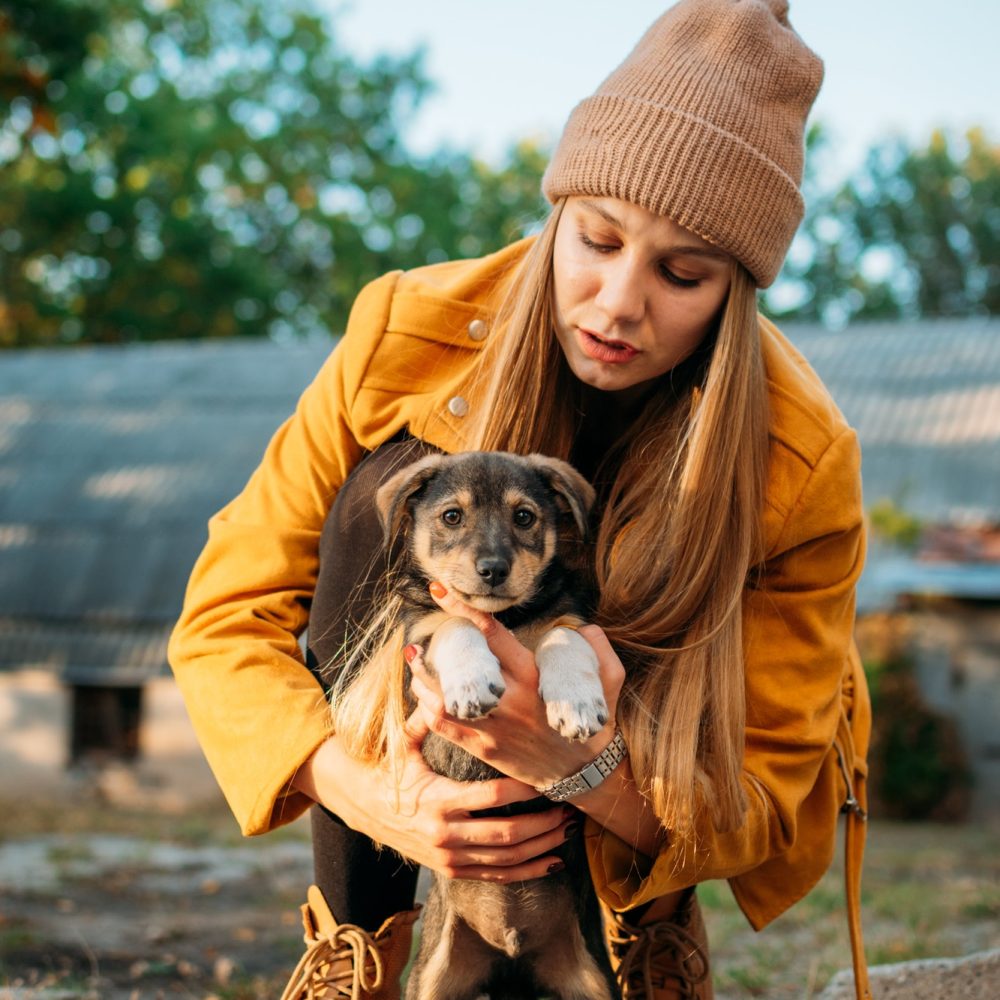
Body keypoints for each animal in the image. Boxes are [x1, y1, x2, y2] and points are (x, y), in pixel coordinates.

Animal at [374, 452, 616, 1000]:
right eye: (451, 517)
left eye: (524, 517)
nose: (492, 570)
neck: (504, 619)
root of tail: (512, 958)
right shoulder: (420, 645)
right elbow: (455, 622)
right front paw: (472, 681)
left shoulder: (571, 619)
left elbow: (563, 637)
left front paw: (576, 703)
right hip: (430, 980)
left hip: (594, 981)